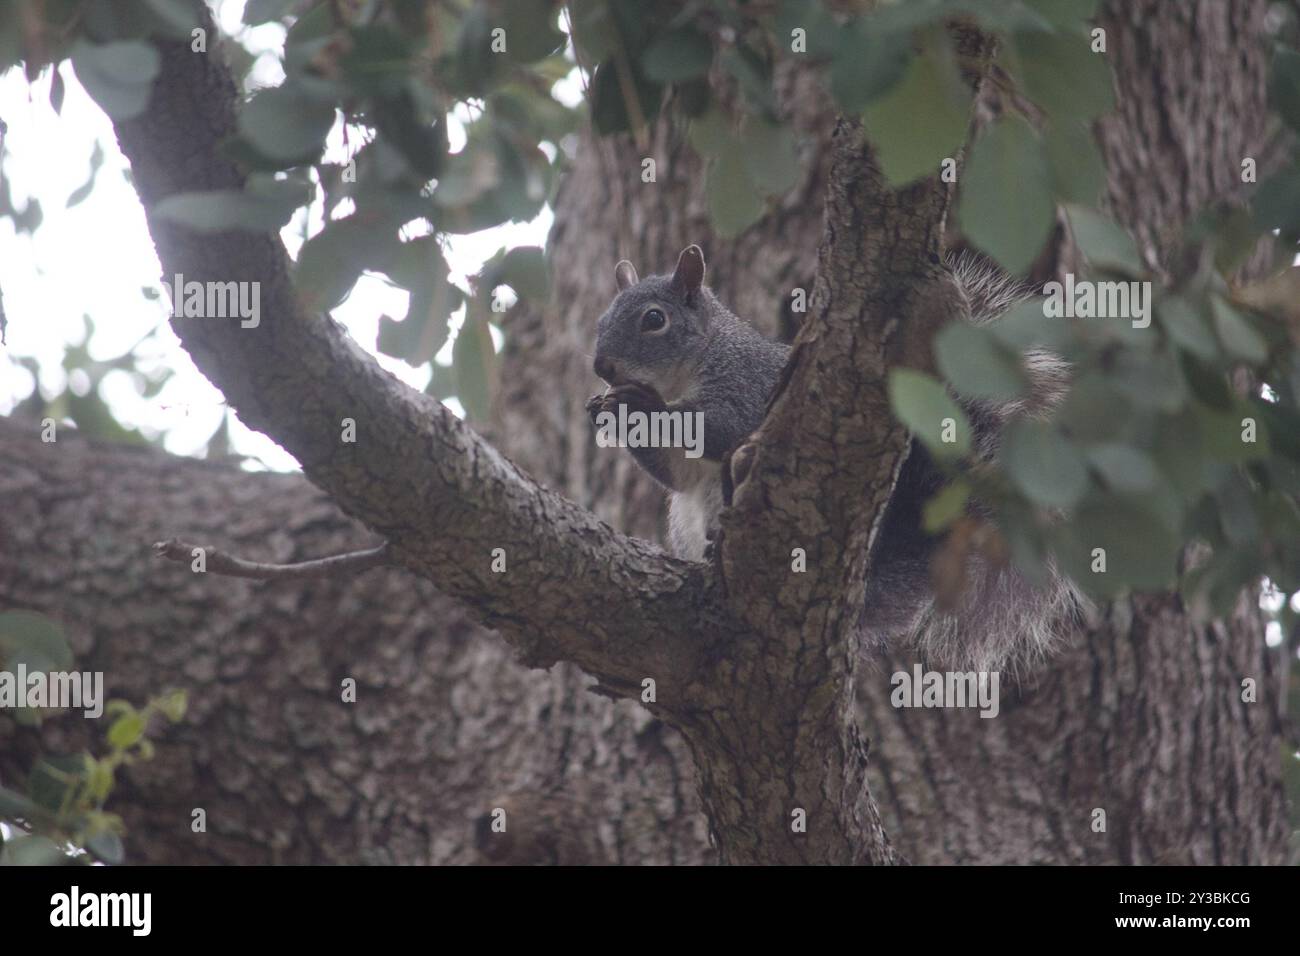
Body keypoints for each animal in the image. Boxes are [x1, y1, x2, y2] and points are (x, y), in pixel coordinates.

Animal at [586, 244, 1078, 672]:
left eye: (655, 319)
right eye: (601, 319)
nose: (601, 367)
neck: (681, 377)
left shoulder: (748, 386)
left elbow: (718, 429)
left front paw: (637, 406)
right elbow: (677, 474)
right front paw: (607, 410)